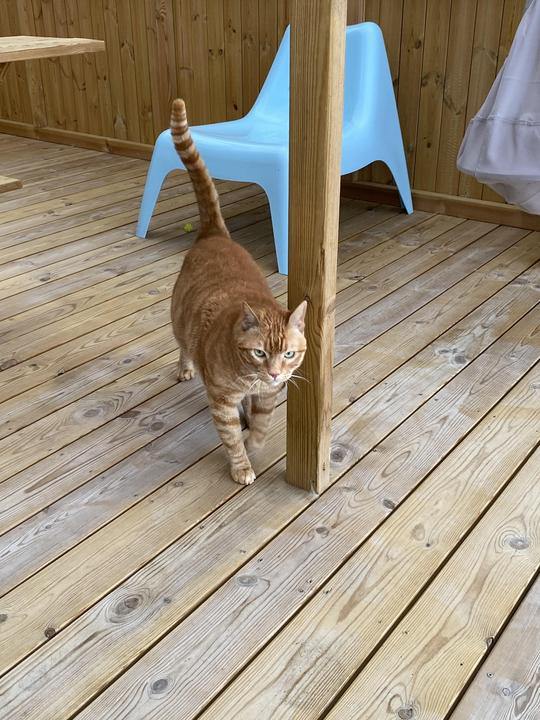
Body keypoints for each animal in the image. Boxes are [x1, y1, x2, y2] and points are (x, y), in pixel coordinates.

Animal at [169, 98, 307, 485]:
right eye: (259, 353)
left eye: (288, 354)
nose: (275, 372)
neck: (251, 378)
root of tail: (214, 234)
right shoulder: (221, 402)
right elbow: (231, 439)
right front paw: (241, 465)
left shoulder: (269, 396)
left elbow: (260, 427)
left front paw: (254, 443)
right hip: (179, 322)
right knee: (183, 346)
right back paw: (185, 367)